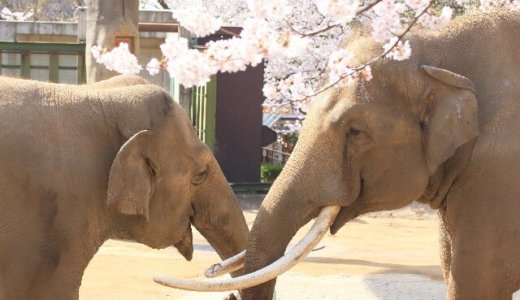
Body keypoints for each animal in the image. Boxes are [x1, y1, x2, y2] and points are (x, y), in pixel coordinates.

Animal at [154, 9, 520, 300]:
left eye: (355, 131)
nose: (210, 269)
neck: (439, 45)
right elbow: (452, 267)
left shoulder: (499, 173)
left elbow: (477, 281)